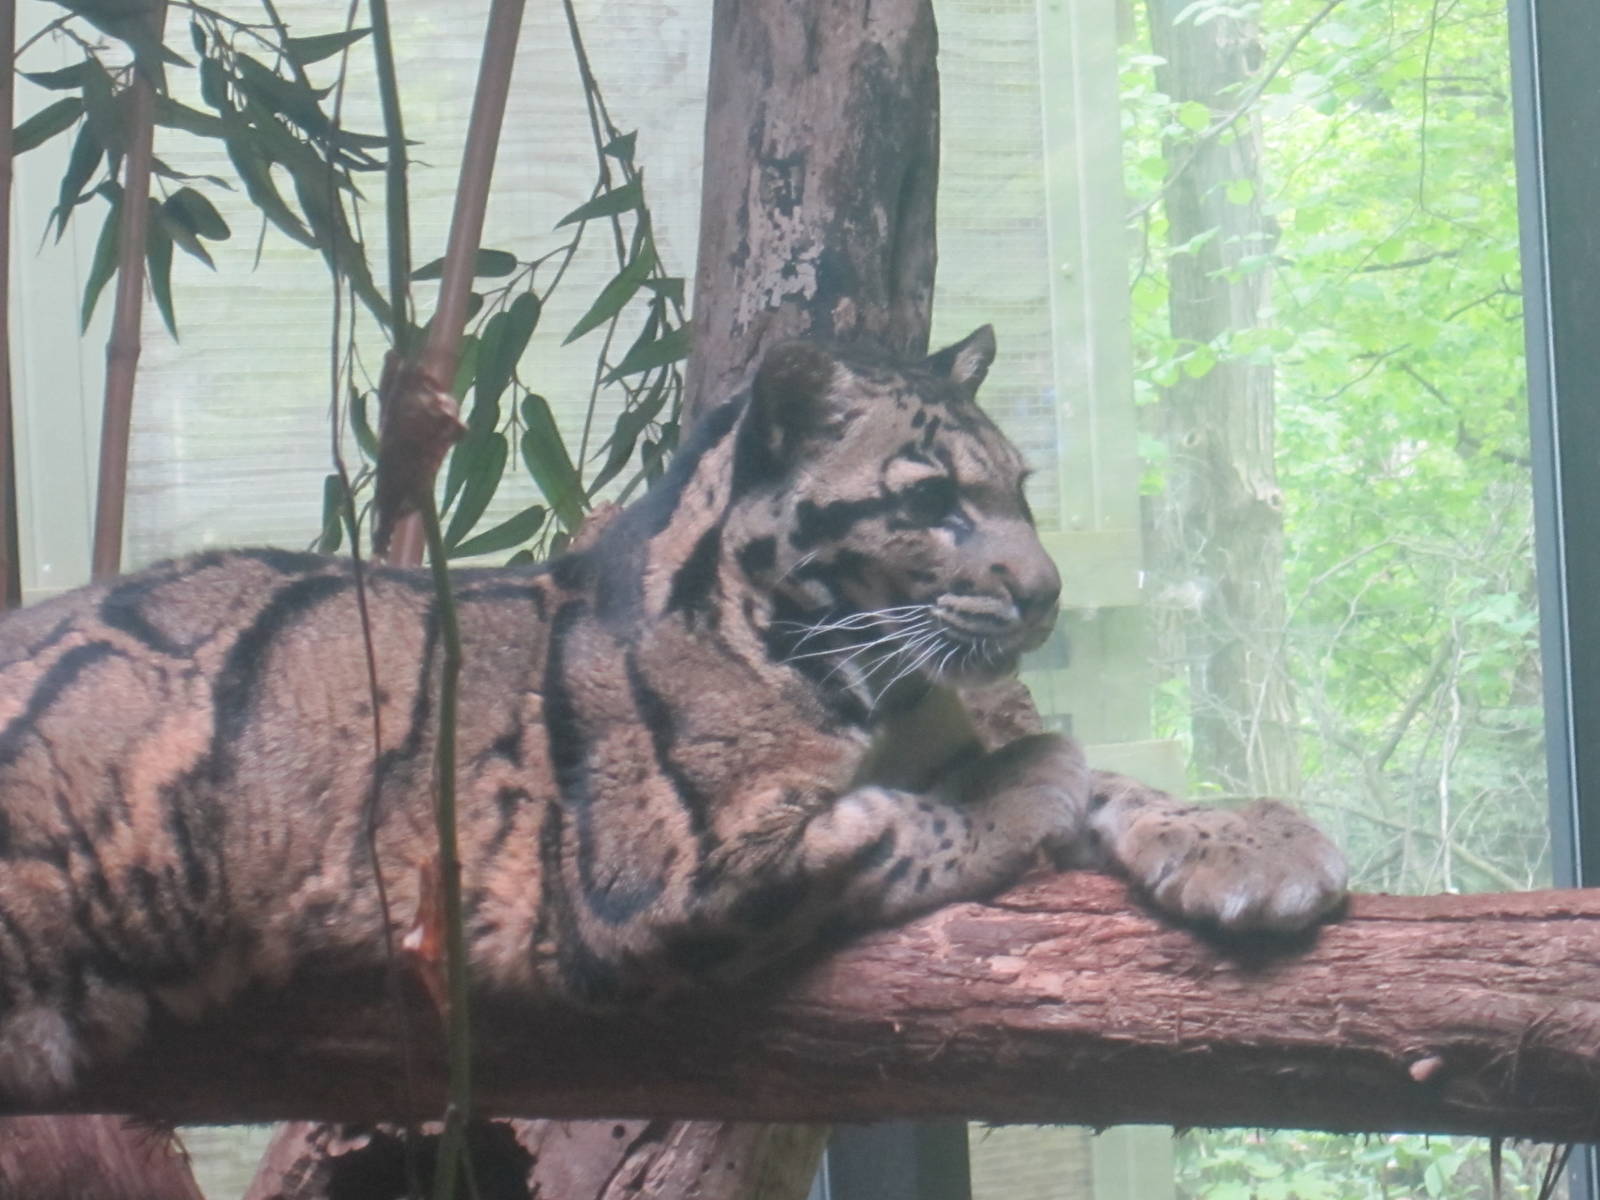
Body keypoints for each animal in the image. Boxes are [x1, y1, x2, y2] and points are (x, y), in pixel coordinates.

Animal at [0, 325, 1345, 1101]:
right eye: (933, 504)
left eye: (1019, 488)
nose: (1048, 591)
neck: (862, 669)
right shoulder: (660, 877)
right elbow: (918, 815)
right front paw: (1036, 779)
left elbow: (1092, 775)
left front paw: (1251, 838)